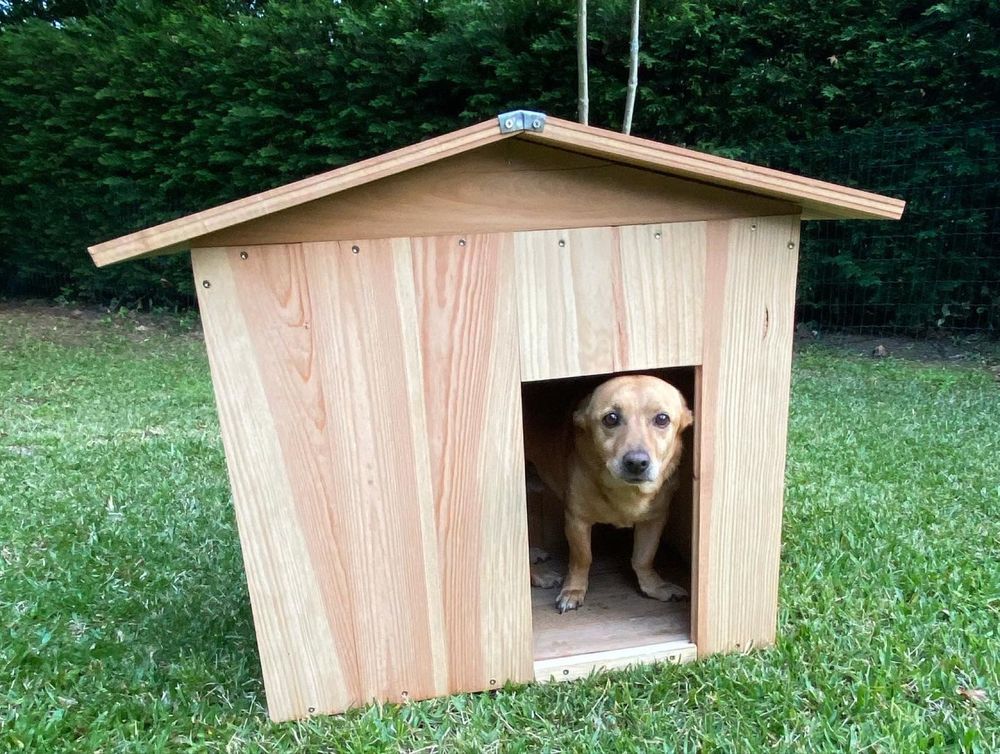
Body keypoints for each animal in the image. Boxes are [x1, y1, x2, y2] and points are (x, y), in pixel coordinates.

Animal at [524, 374, 696, 612]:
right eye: (611, 418)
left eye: (662, 419)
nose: (636, 462)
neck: (626, 492)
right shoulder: (576, 520)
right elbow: (582, 558)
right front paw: (574, 591)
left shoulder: (655, 520)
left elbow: (643, 557)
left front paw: (655, 587)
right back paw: (540, 576)